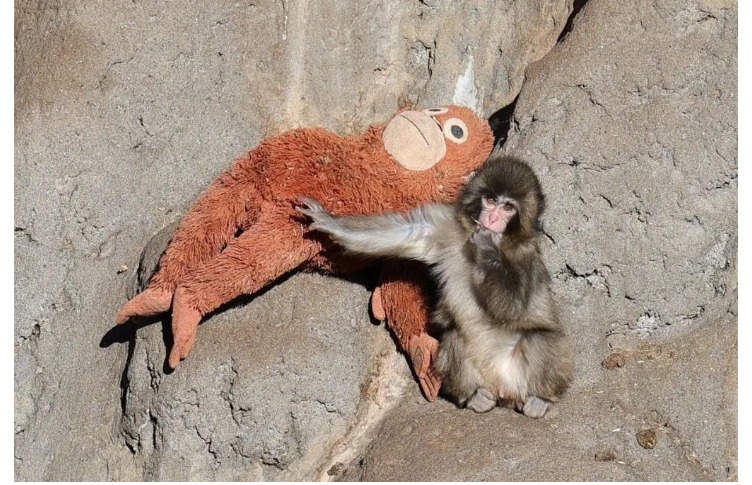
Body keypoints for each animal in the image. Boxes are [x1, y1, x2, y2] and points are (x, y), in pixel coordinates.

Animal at [295, 154, 572, 418]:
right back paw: (475, 397)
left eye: (508, 207)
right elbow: (411, 232)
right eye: (491, 199)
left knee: (538, 337)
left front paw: (487, 246)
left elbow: (514, 308)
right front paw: (327, 220)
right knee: (454, 336)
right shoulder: (445, 225)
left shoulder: (526, 255)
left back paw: (539, 400)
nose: (493, 218)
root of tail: (504, 389)